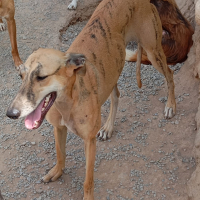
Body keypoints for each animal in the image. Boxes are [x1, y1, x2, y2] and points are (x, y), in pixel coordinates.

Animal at [6, 0, 176, 198]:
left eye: (41, 77)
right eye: (21, 76)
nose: (10, 113)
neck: (68, 102)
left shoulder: (89, 141)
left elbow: (88, 180)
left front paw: (88, 196)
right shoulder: (58, 128)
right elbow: (60, 153)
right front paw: (57, 171)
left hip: (153, 50)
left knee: (170, 74)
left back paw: (171, 105)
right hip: (112, 69)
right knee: (116, 95)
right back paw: (108, 127)